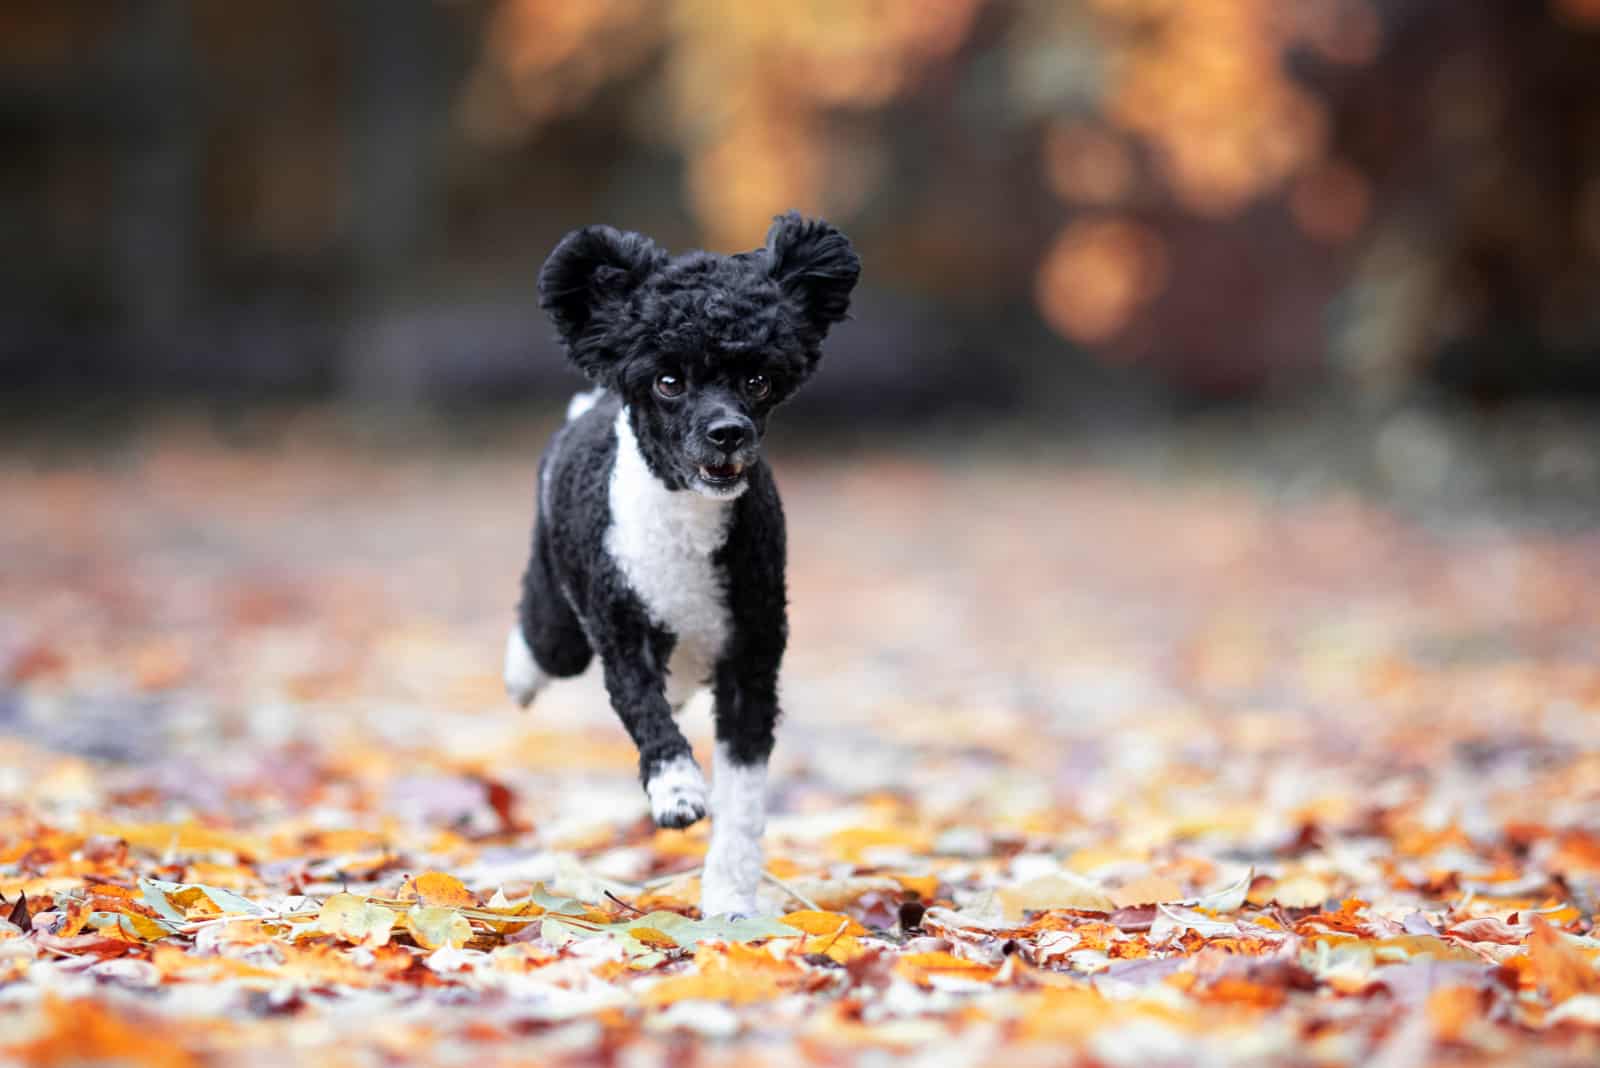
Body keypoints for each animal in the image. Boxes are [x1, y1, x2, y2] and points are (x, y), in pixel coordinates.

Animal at [505, 212, 864, 914]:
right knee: (541, 640)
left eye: (757, 380)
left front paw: (730, 899)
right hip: (560, 616)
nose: (727, 433)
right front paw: (676, 791)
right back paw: (520, 677)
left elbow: (743, 799)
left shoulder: (752, 660)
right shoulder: (622, 636)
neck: (685, 522)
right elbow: (650, 717)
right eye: (668, 382)